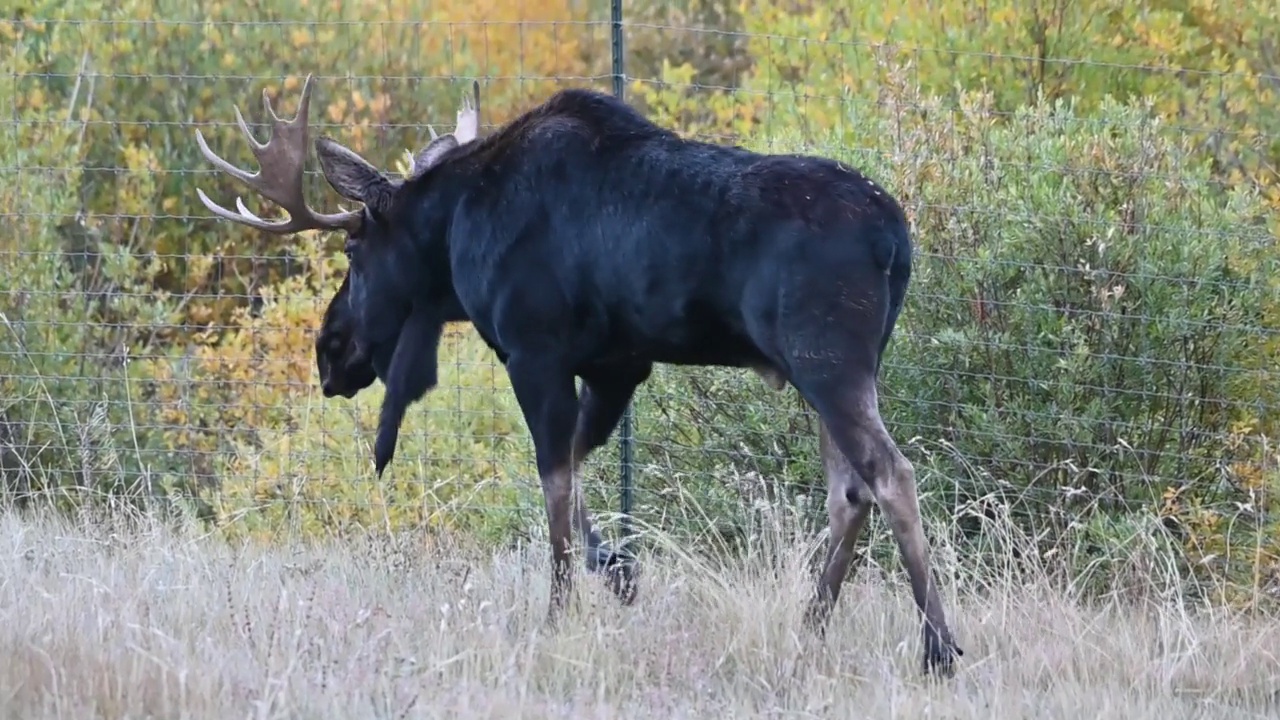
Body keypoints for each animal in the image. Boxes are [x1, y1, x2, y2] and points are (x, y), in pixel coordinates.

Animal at [192, 74, 962, 671]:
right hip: (830, 371)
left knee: (891, 475)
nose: (329, 351)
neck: (454, 231)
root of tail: (896, 237)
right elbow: (573, 469)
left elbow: (552, 483)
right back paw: (811, 626)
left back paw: (938, 647)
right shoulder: (618, 364)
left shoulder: (536, 350)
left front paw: (558, 616)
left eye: (354, 250)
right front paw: (619, 573)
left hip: (826, 360)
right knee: (849, 492)